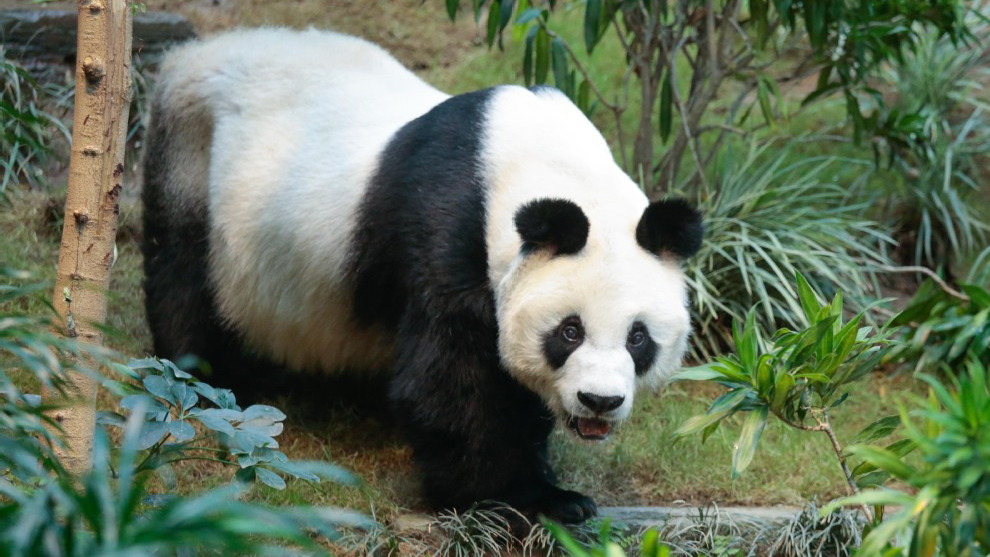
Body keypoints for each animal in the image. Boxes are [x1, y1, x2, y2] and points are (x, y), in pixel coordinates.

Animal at [145, 28, 704, 524]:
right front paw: (526, 498)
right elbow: (449, 378)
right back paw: (210, 381)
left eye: (638, 338)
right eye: (569, 331)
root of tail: (190, 54)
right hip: (193, 161)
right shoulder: (448, 226)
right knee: (186, 282)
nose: (599, 402)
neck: (540, 160)